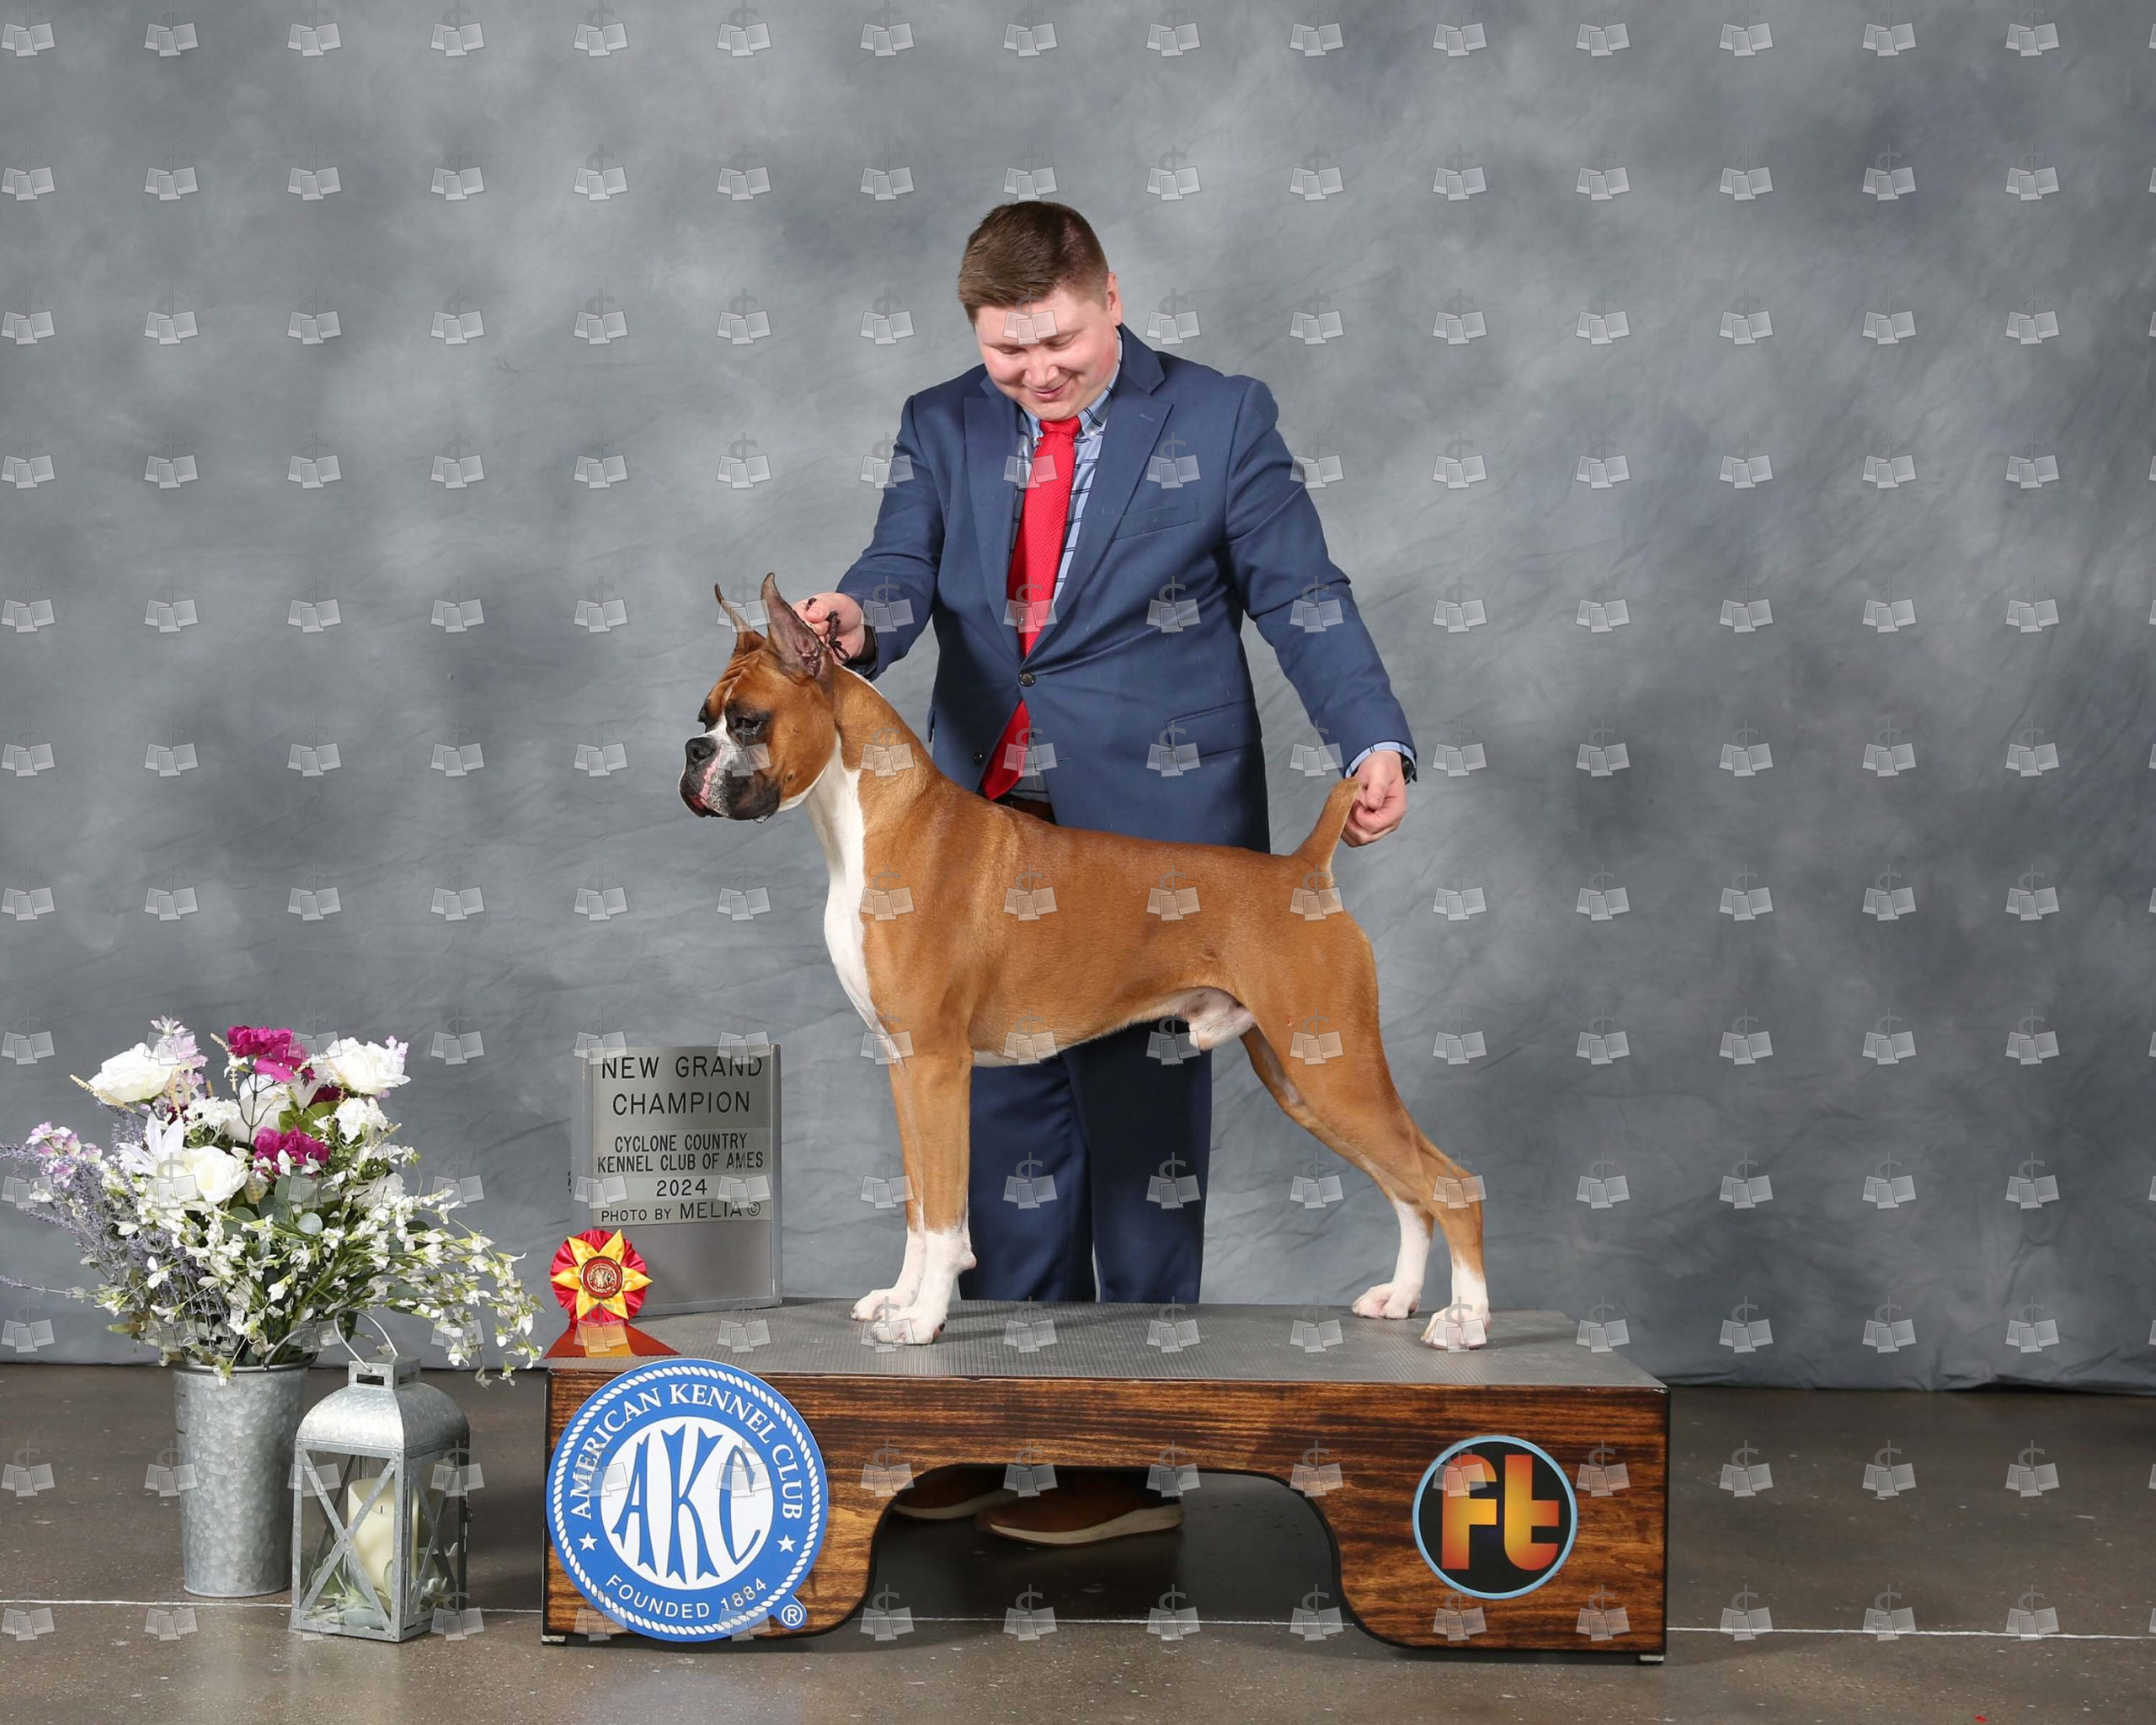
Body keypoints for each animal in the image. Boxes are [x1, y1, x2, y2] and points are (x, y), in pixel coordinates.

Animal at [681, 573, 1488, 1349]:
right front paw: (899, 1300)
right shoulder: (903, 1064)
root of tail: (1304, 869)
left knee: (1450, 1184)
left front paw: (922, 1319)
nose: (694, 755)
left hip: (1336, 1071)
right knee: (1408, 1189)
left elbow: (943, 1216)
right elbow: (915, 1203)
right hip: (1303, 1078)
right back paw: (1400, 1299)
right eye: (704, 717)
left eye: (747, 721)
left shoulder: (939, 1067)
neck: (875, 820)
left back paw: (1467, 1322)